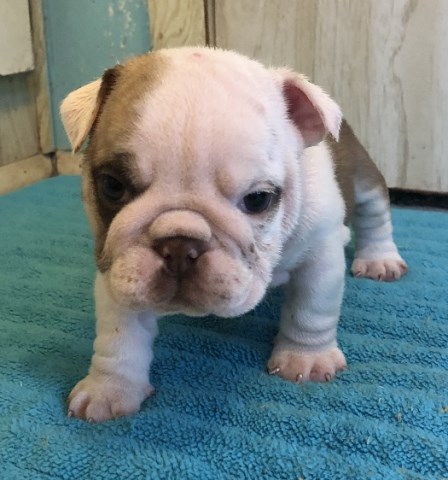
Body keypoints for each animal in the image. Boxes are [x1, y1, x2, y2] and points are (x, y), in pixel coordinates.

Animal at [58, 47, 406, 422]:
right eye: (112, 185)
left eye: (258, 199)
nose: (179, 246)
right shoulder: (118, 271)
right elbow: (118, 336)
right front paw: (109, 388)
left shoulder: (321, 254)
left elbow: (311, 309)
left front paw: (305, 359)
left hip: (363, 176)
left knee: (375, 215)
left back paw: (380, 260)